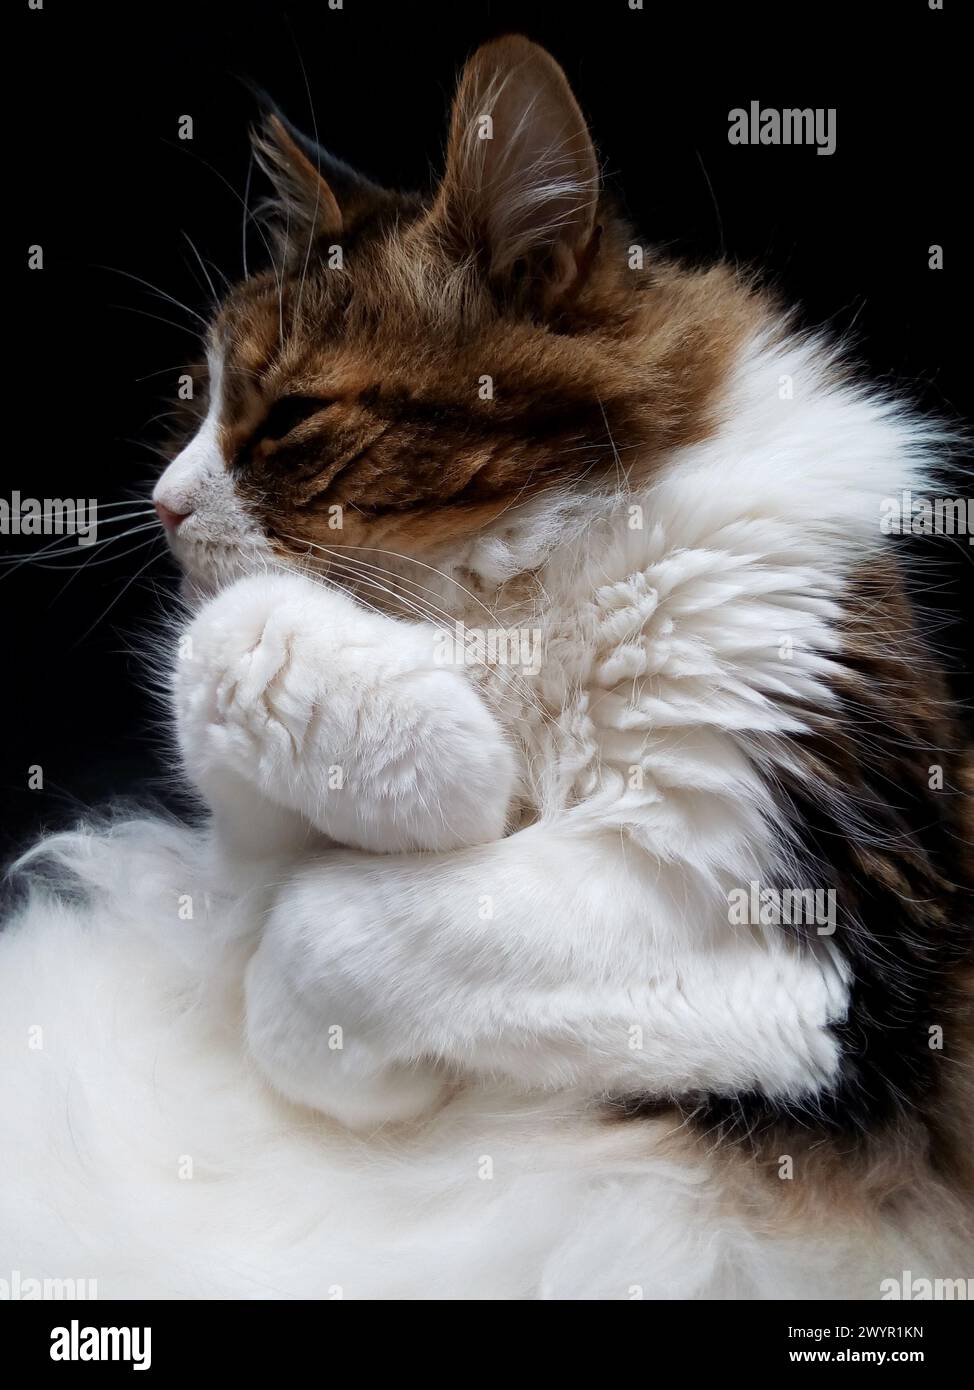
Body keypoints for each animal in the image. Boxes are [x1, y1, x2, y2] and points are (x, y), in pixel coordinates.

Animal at [1, 32, 972, 1289]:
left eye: (289, 418)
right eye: (189, 401)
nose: (163, 504)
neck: (493, 606)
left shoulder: (815, 925)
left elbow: (322, 937)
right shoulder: (237, 853)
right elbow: (225, 652)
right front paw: (448, 767)